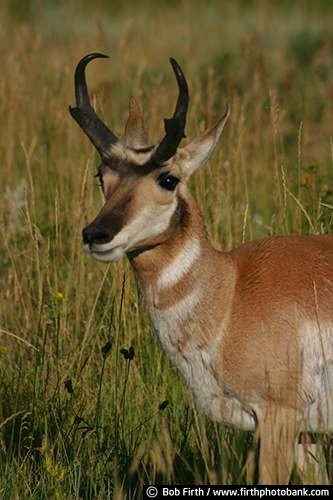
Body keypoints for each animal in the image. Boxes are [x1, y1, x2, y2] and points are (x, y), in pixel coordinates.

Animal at [69, 52, 332, 482]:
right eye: (101, 175)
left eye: (168, 178)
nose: (95, 235)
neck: (231, 291)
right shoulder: (306, 433)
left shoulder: (280, 415)